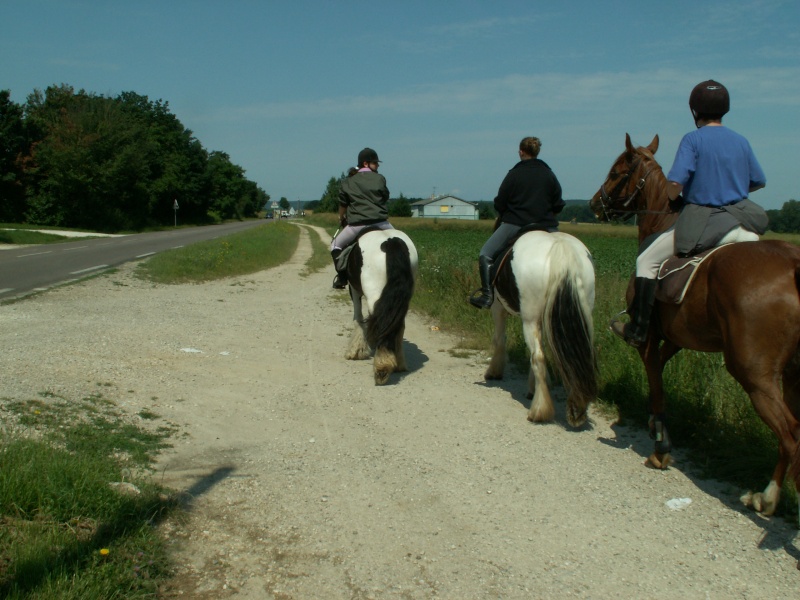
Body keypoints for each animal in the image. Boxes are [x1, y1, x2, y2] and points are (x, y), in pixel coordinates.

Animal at [342, 230, 422, 384]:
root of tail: (391, 241)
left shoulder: (354, 289)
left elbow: (358, 317)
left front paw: (356, 351)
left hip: (374, 294)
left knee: (384, 323)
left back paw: (382, 367)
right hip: (402, 300)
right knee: (397, 325)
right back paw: (398, 363)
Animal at [484, 231, 596, 426]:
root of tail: (560, 246)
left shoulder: (497, 308)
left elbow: (500, 339)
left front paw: (494, 371)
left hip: (529, 319)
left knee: (538, 356)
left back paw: (539, 411)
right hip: (581, 315)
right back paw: (577, 409)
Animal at [592, 134, 800, 524]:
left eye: (615, 173)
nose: (596, 204)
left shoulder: (649, 337)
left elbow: (654, 377)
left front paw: (661, 446)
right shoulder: (678, 337)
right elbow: (659, 371)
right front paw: (654, 424)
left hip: (754, 373)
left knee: (790, 433)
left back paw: (767, 498)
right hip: (794, 374)